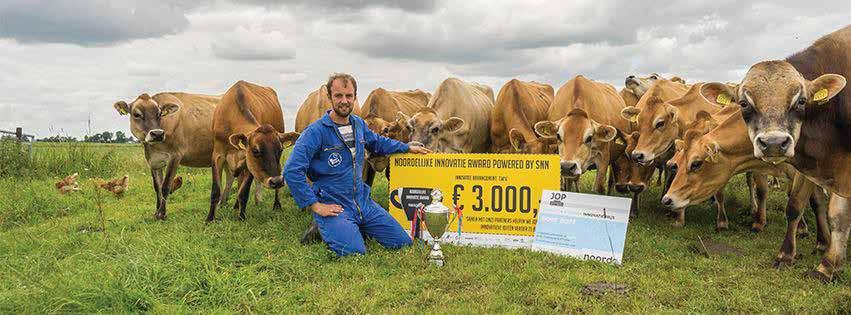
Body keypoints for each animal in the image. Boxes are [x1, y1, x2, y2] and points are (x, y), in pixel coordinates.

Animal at [206, 81, 300, 222]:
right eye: (255, 151)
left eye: (280, 149)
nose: (277, 181)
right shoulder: (217, 154)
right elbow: (216, 190)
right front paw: (210, 219)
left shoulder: (248, 162)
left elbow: (244, 192)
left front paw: (241, 217)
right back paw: (236, 206)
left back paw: (276, 204)